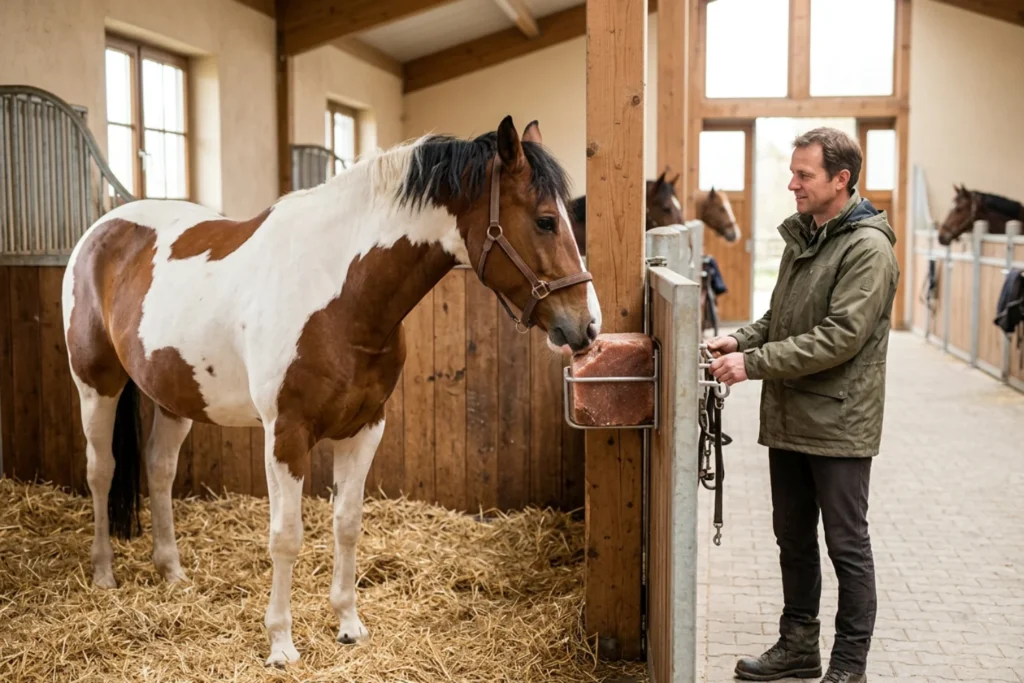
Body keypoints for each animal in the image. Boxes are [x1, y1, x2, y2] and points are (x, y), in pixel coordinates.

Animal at [60, 116, 601, 666]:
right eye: (545, 221)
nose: (586, 327)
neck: (340, 293)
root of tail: (105, 227)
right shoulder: (286, 436)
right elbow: (286, 537)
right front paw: (280, 643)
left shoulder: (364, 428)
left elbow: (347, 523)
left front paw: (348, 624)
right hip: (95, 384)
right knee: (101, 470)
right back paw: (103, 573)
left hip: (175, 396)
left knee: (159, 469)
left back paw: (171, 572)